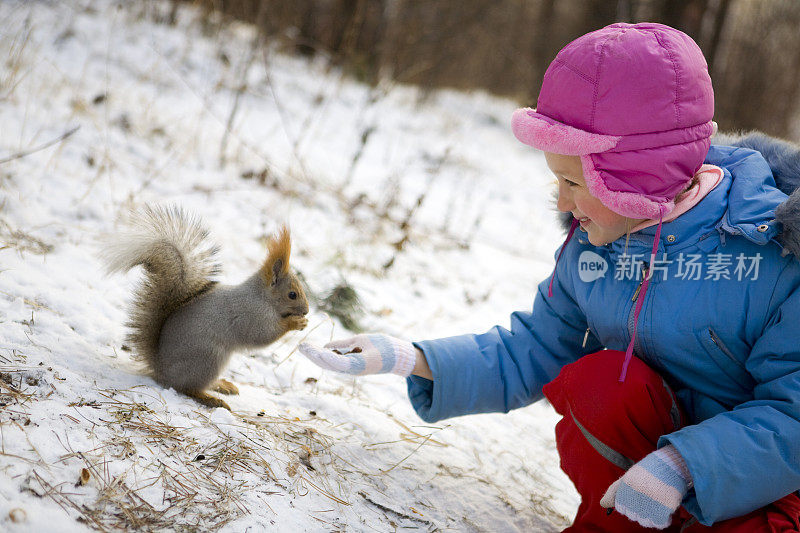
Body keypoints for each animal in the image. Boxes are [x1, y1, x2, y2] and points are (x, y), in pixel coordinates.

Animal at [99, 206, 310, 410]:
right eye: (292, 294)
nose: (307, 311)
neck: (262, 297)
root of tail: (161, 368)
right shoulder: (251, 315)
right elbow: (262, 336)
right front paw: (295, 323)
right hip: (208, 358)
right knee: (187, 388)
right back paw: (210, 398)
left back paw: (222, 385)